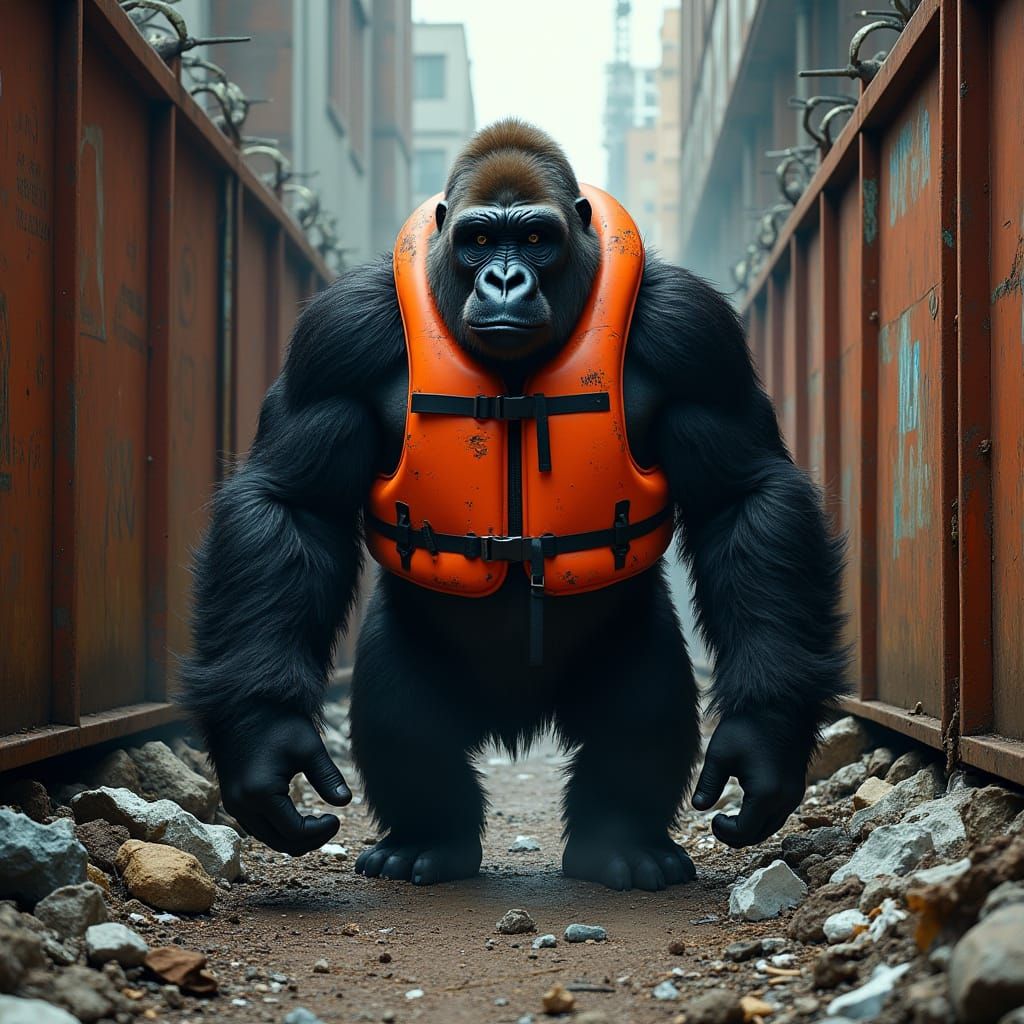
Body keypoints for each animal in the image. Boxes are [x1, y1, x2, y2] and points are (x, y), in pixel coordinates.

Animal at [181, 119, 846, 892]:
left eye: (534, 239)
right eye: (476, 240)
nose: (504, 280)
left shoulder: (694, 332)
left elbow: (747, 496)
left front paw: (762, 740)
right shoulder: (338, 333)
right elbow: (290, 502)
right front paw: (265, 742)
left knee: (641, 711)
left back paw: (619, 843)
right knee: (405, 718)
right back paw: (428, 840)